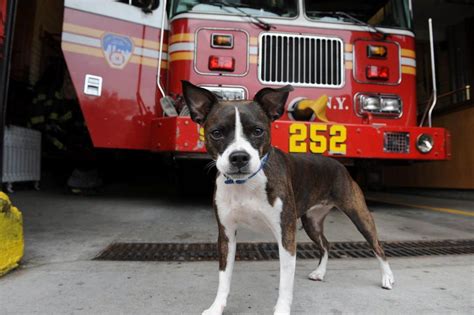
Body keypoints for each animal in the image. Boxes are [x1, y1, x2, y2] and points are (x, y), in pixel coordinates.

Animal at [181, 81, 396, 315]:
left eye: (258, 131)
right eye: (217, 133)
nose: (239, 157)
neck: (245, 184)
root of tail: (338, 164)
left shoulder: (286, 235)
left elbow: (285, 282)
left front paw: (282, 309)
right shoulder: (226, 235)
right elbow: (224, 277)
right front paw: (216, 307)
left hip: (359, 215)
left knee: (377, 246)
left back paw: (387, 277)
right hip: (312, 222)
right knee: (326, 244)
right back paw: (320, 272)